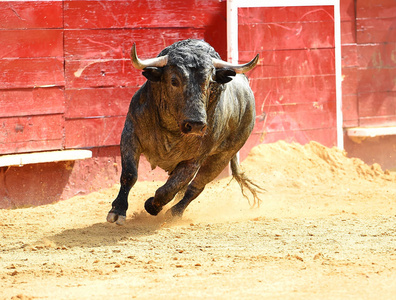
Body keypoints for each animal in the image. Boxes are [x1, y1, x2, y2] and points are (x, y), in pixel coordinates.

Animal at [106, 38, 262, 225]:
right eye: (174, 80)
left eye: (210, 83)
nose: (195, 125)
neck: (172, 128)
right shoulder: (130, 134)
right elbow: (130, 174)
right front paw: (117, 211)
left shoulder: (194, 160)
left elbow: (169, 189)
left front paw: (151, 205)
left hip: (222, 157)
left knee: (195, 187)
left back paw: (175, 212)